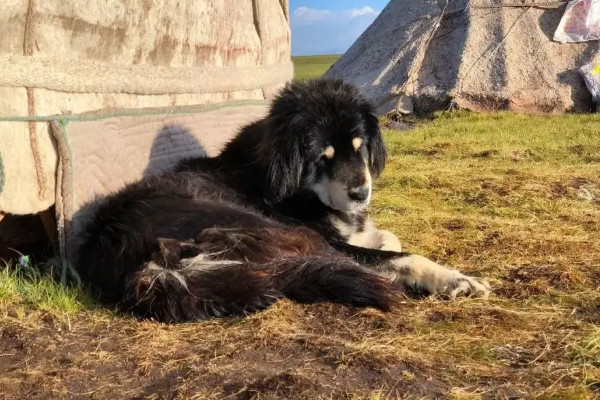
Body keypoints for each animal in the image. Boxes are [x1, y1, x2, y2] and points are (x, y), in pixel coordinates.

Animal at [76, 79, 490, 322]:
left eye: (360, 147)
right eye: (322, 158)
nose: (361, 193)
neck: (291, 187)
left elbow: (387, 237)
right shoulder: (326, 235)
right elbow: (400, 254)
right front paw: (455, 278)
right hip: (271, 230)